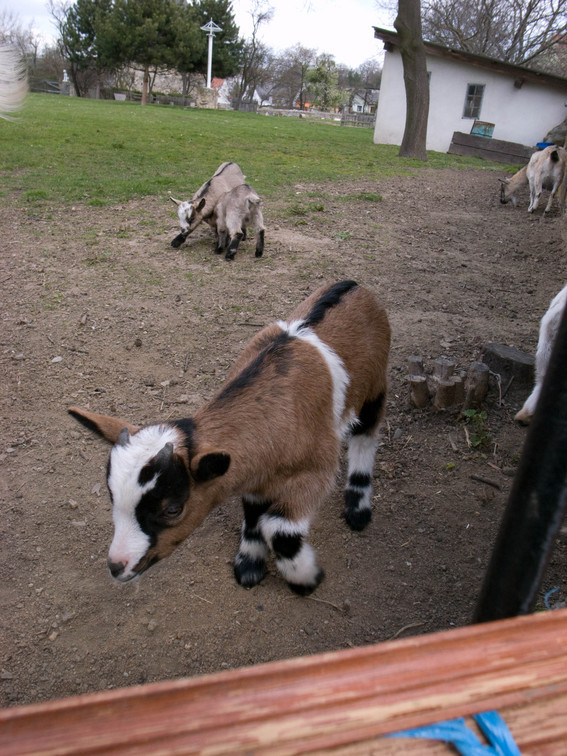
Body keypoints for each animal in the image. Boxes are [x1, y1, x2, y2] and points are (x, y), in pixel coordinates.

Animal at [68, 280, 391, 595]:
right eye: (112, 496)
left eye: (172, 509)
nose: (117, 566)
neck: (274, 418)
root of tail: (355, 285)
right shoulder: (254, 475)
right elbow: (254, 515)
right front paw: (249, 565)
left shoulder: (316, 470)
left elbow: (279, 531)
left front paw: (306, 579)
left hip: (374, 387)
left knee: (365, 436)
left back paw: (358, 508)